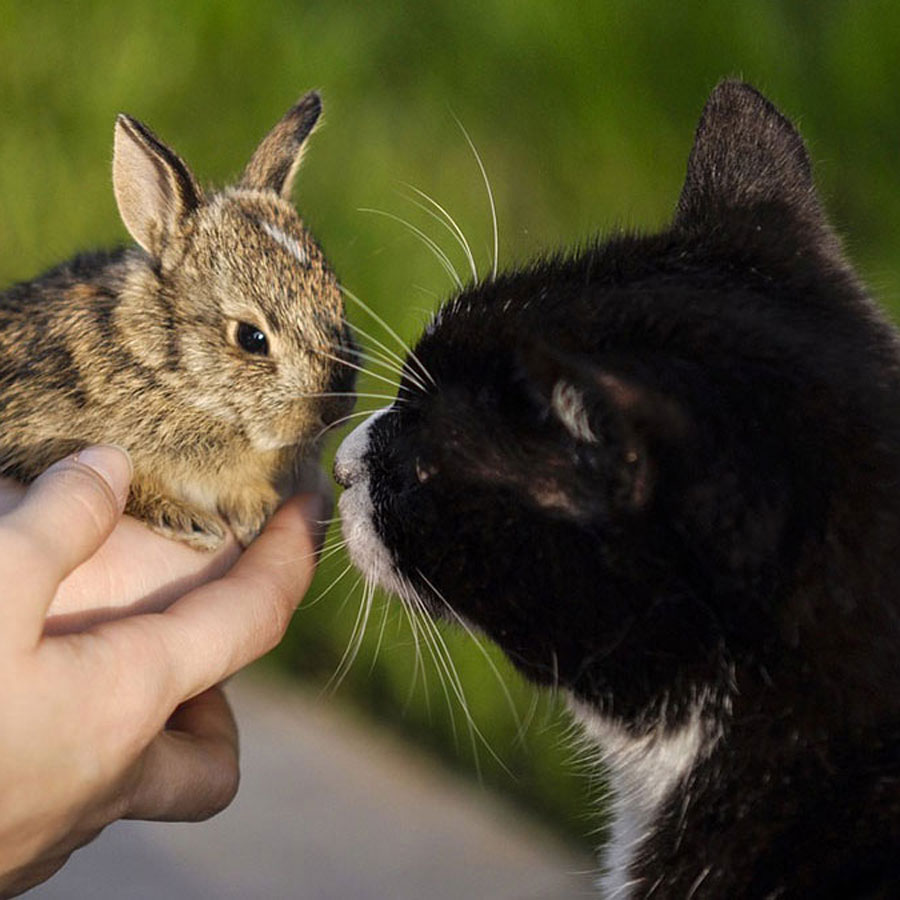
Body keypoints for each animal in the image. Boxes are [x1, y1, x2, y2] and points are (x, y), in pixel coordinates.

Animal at [0, 95, 356, 552]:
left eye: (338, 303)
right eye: (251, 338)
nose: (335, 411)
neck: (166, 373)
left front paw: (253, 510)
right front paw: (190, 522)